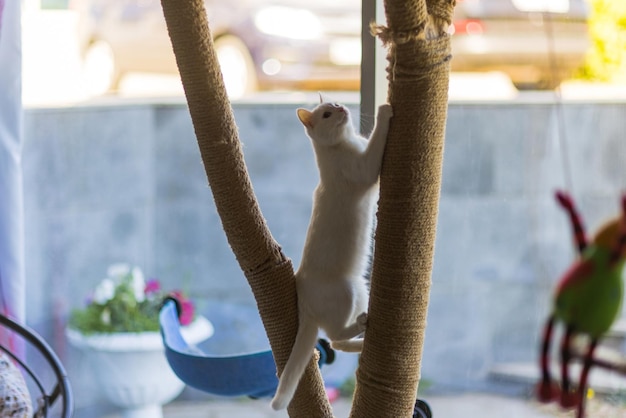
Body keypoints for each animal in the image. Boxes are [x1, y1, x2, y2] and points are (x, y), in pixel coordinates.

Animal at [268, 95, 390, 412]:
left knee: (337, 342)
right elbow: (377, 138)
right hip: (347, 289)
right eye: (326, 114)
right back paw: (360, 327)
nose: (341, 108)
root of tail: (304, 304)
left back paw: (363, 340)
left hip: (361, 288)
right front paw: (385, 109)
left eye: (333, 104)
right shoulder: (366, 168)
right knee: (334, 337)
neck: (346, 143)